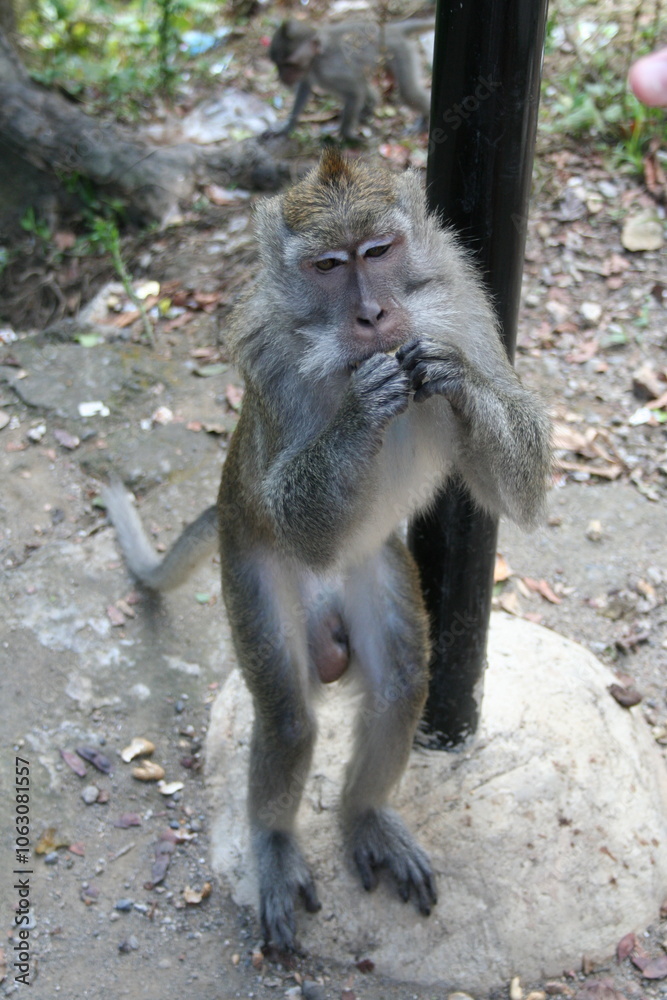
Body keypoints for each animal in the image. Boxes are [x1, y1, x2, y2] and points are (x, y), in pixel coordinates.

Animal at [104, 149, 552, 953]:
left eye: (378, 252)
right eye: (327, 266)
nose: (372, 315)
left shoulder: (466, 302)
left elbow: (514, 489)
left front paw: (457, 378)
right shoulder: (268, 356)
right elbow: (294, 509)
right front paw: (362, 407)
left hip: (376, 567)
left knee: (401, 683)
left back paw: (361, 815)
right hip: (248, 563)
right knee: (286, 713)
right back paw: (275, 842)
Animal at [265, 18, 433, 140]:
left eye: (289, 64)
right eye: (278, 64)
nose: (281, 76)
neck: (316, 58)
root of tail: (390, 29)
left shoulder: (329, 71)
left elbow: (354, 92)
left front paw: (346, 136)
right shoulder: (309, 73)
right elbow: (304, 88)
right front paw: (287, 127)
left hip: (399, 50)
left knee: (408, 93)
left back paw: (424, 122)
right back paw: (367, 110)